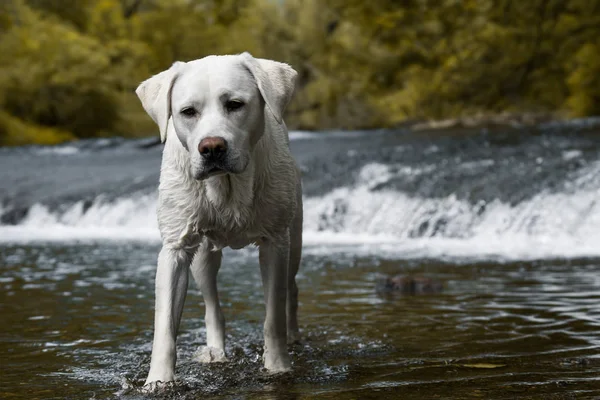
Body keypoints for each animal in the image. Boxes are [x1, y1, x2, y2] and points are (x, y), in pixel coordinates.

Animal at [134, 52, 300, 388]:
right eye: (188, 112)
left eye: (235, 104)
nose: (211, 147)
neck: (226, 186)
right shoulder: (175, 249)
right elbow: (165, 327)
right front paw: (158, 381)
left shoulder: (276, 243)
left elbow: (273, 317)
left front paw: (278, 368)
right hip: (203, 259)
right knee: (212, 306)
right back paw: (216, 352)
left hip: (295, 238)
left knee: (291, 291)